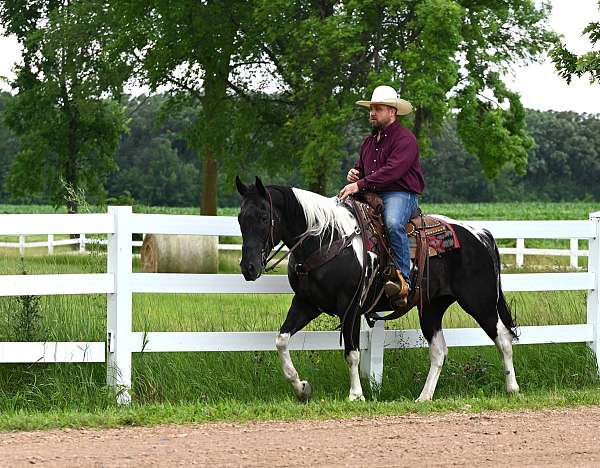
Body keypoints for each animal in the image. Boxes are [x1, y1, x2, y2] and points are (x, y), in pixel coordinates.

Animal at [237, 176, 516, 402]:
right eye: (240, 219)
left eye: (264, 217)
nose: (248, 268)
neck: (327, 239)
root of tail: (481, 234)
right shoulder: (307, 304)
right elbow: (281, 340)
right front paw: (301, 388)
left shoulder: (350, 307)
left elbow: (352, 353)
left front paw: (355, 395)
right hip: (431, 308)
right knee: (439, 351)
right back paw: (424, 397)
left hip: (479, 301)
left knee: (503, 338)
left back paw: (512, 388)